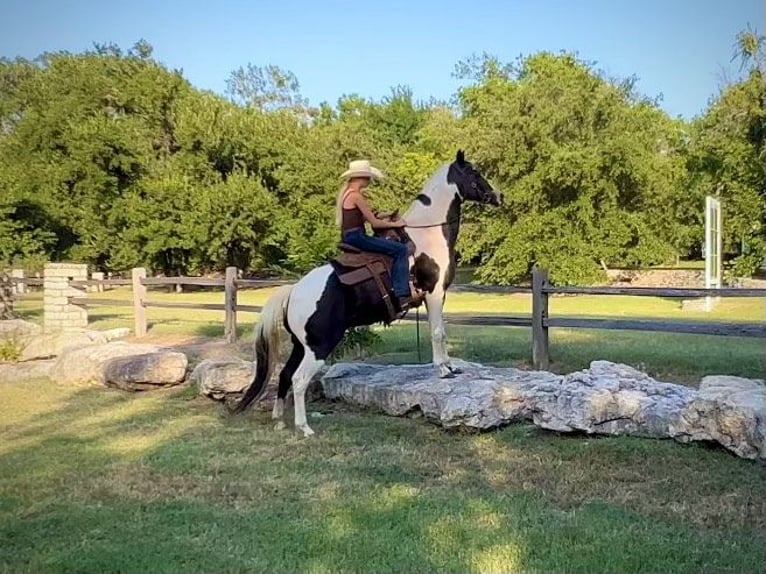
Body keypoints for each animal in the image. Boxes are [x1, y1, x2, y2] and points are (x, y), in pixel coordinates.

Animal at [228, 148, 504, 436]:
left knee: (284, 374)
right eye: (474, 172)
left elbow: (440, 332)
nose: (499, 196)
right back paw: (304, 428)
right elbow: (438, 333)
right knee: (299, 379)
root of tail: (294, 291)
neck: (427, 235)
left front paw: (449, 366)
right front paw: (444, 370)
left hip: (301, 345)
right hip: (319, 347)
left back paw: (280, 421)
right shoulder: (435, 293)